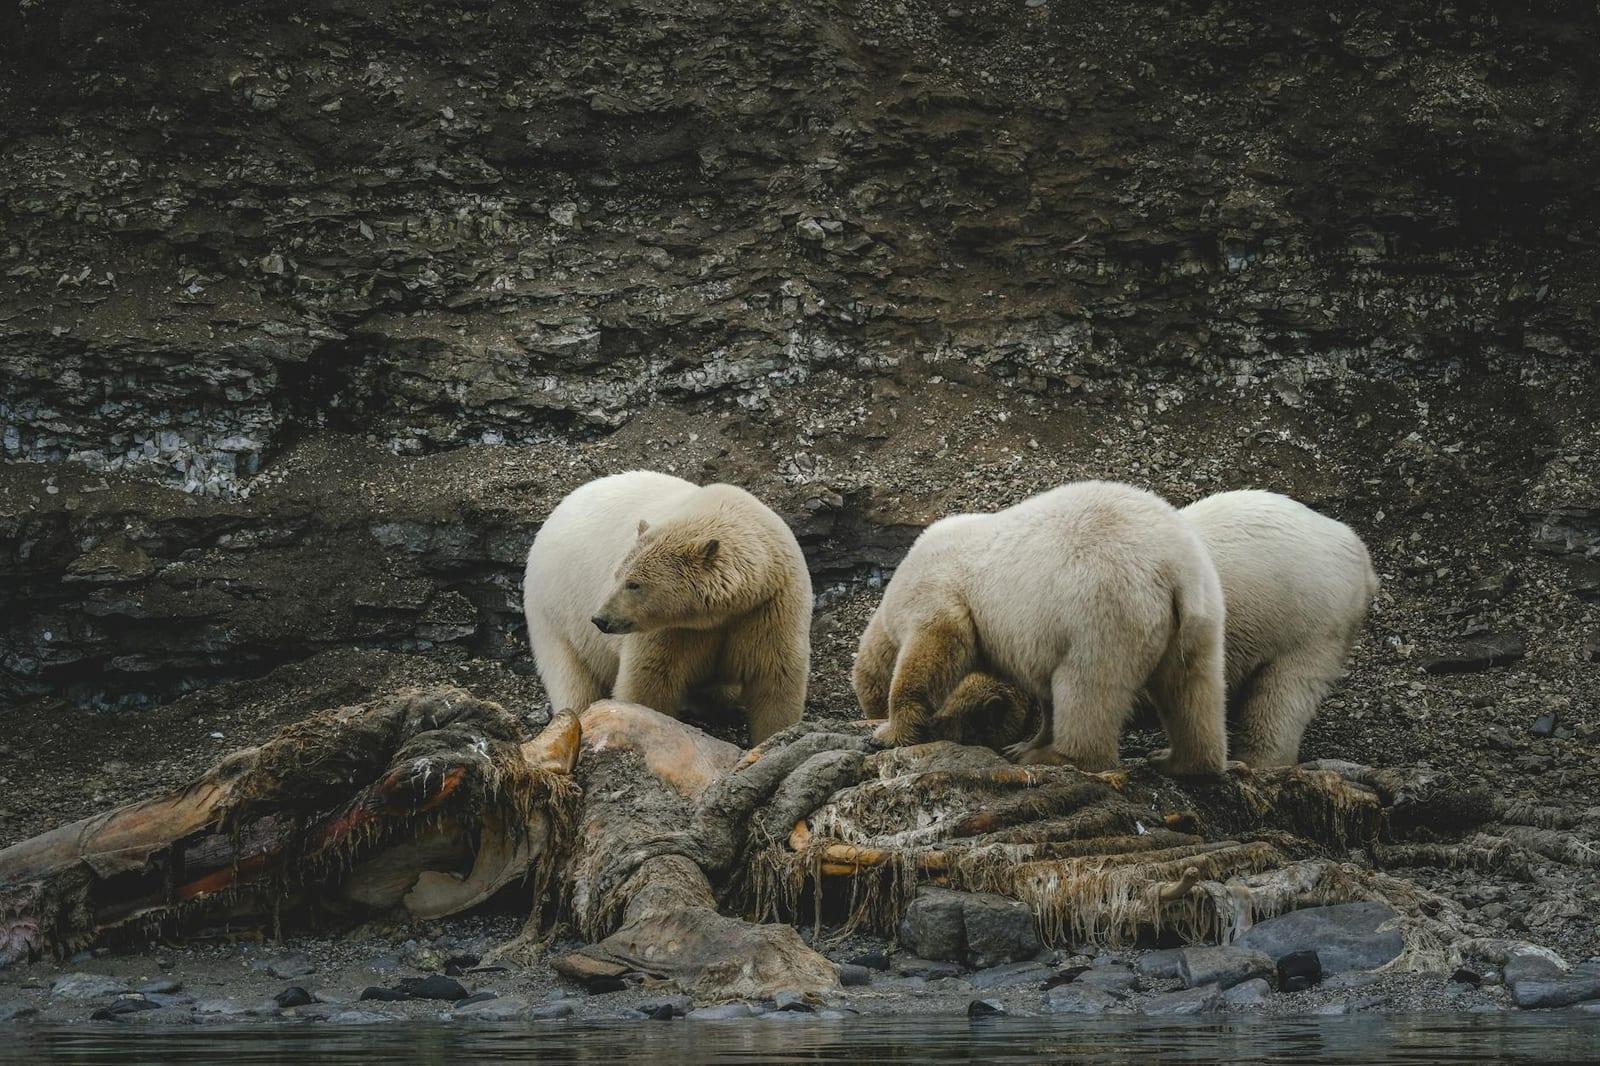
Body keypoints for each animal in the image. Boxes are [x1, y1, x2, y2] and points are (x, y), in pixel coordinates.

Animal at [523, 470, 811, 743]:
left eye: (634, 584)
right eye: (617, 576)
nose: (600, 619)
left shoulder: (768, 608)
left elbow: (775, 678)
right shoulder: (672, 630)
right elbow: (650, 678)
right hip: (555, 611)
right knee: (570, 675)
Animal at [853, 480, 1229, 776]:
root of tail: (1172, 567)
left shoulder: (934, 590)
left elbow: (935, 646)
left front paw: (888, 732)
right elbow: (1044, 690)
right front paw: (1023, 742)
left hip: (1103, 606)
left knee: (1088, 686)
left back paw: (1061, 757)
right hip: (1200, 612)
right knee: (1192, 685)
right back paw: (1181, 760)